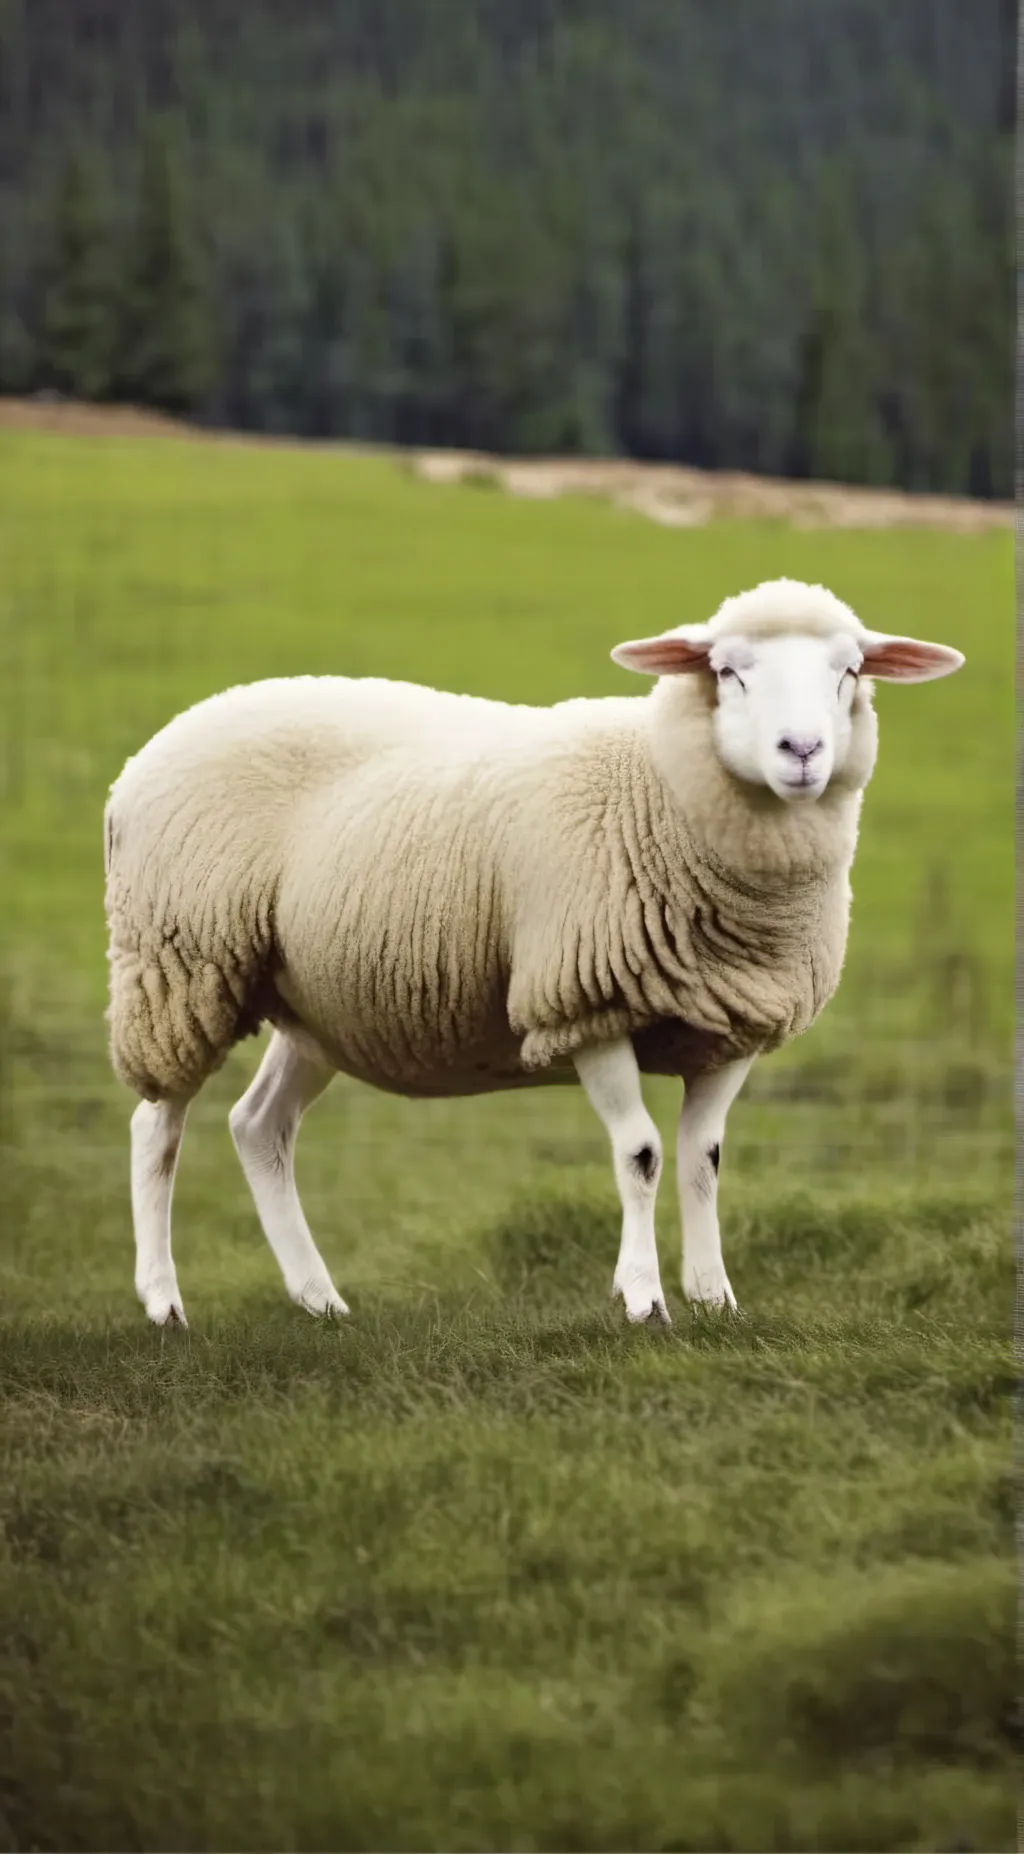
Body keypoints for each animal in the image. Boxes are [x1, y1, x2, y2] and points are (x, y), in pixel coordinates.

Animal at [104, 577, 963, 1329]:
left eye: (849, 671)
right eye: (728, 671)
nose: (802, 750)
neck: (658, 789)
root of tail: (143, 758)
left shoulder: (731, 1024)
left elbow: (703, 1159)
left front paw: (715, 1297)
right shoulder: (585, 1001)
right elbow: (642, 1153)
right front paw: (644, 1300)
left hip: (316, 1006)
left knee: (260, 1126)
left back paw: (319, 1299)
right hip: (179, 964)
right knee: (157, 1128)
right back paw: (163, 1302)